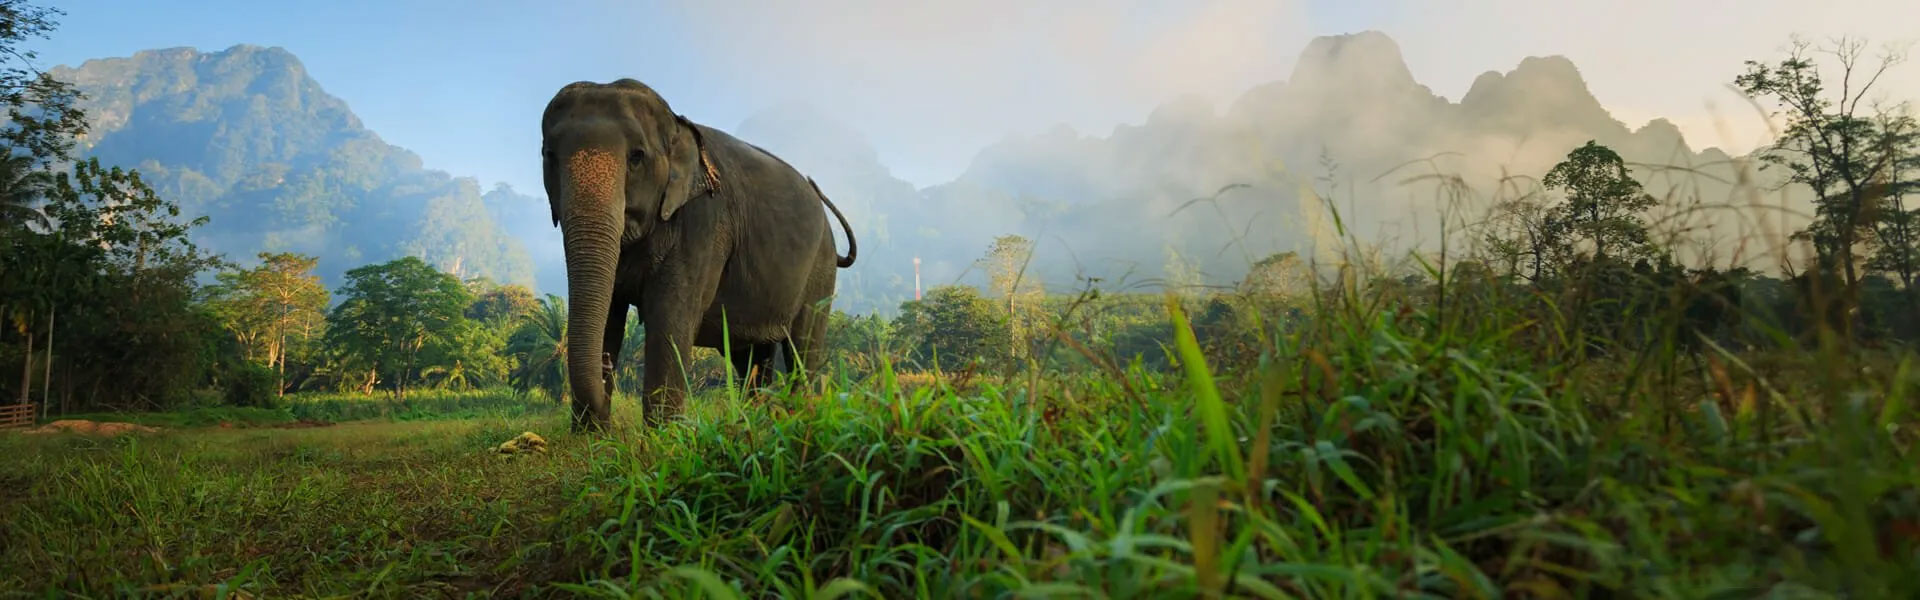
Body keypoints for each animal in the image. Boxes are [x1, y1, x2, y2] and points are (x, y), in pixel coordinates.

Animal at [540, 79, 857, 432]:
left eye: (637, 157)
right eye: (549, 155)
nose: (606, 364)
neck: (676, 124)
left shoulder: (704, 223)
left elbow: (670, 318)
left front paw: (662, 438)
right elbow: (609, 313)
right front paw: (590, 438)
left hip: (820, 270)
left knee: (803, 347)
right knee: (751, 359)